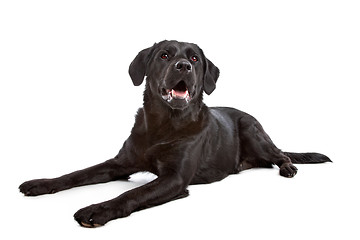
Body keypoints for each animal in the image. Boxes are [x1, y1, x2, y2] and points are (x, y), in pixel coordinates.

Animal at [18, 40, 330, 228]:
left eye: (194, 58)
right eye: (164, 55)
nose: (184, 66)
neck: (163, 125)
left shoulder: (175, 178)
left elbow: (133, 193)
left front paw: (98, 209)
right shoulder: (119, 164)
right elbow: (77, 174)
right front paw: (41, 183)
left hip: (253, 131)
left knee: (281, 154)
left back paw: (288, 168)